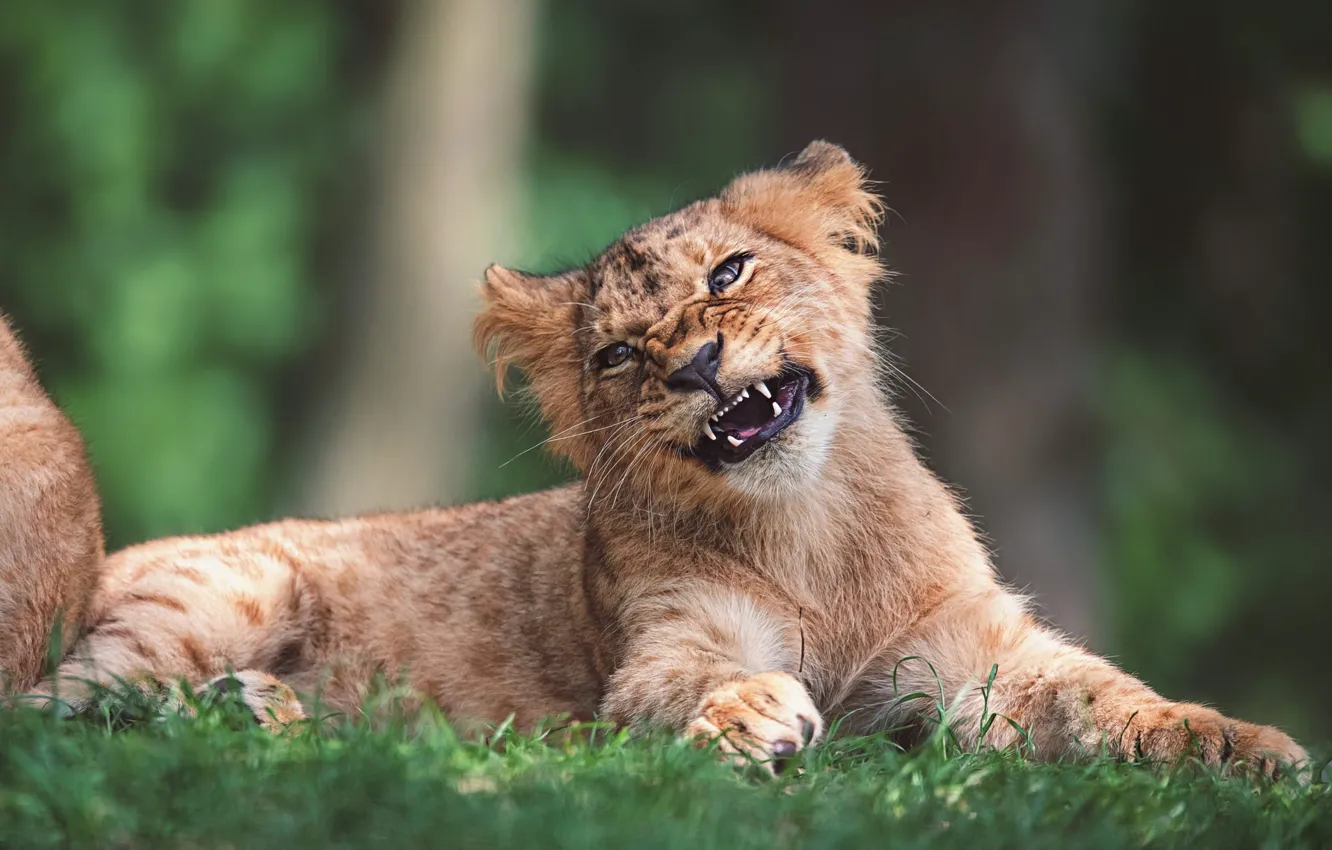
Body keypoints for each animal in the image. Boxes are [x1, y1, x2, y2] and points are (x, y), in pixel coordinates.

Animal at [3, 142, 1306, 775]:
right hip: (218, 591)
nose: (698, 364)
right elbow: (683, 682)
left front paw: (1237, 745)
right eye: (622, 354)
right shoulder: (659, 645)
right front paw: (745, 715)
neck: (810, 528)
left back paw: (271, 711)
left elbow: (1103, 692)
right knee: (57, 709)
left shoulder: (975, 656)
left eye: (729, 271)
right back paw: (255, 707)